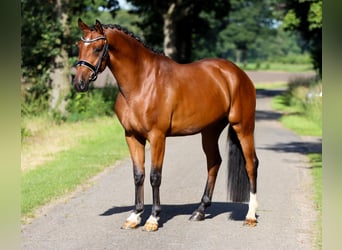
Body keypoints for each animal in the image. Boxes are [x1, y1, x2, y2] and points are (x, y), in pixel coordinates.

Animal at [74, 18, 260, 231]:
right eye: (79, 46)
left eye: (97, 48)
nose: (79, 83)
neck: (142, 82)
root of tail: (237, 74)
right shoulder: (132, 136)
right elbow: (138, 175)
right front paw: (134, 216)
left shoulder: (157, 136)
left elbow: (155, 176)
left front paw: (153, 219)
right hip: (210, 131)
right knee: (214, 162)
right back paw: (200, 211)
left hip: (243, 126)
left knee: (251, 164)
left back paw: (250, 215)